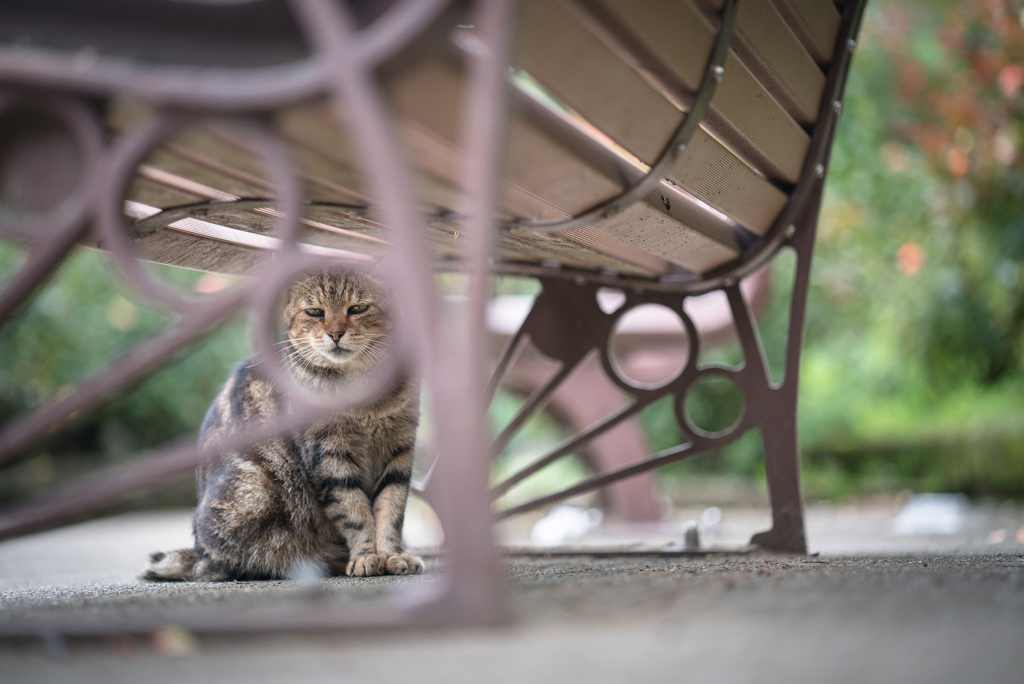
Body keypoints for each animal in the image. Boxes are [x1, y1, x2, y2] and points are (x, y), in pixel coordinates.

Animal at [142, 270, 421, 581]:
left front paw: (392, 555)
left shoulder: (399, 449)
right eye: (315, 312)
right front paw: (365, 556)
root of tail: (198, 552)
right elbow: (354, 512)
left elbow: (391, 509)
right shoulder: (330, 456)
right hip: (256, 498)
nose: (336, 334)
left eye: (358, 308)